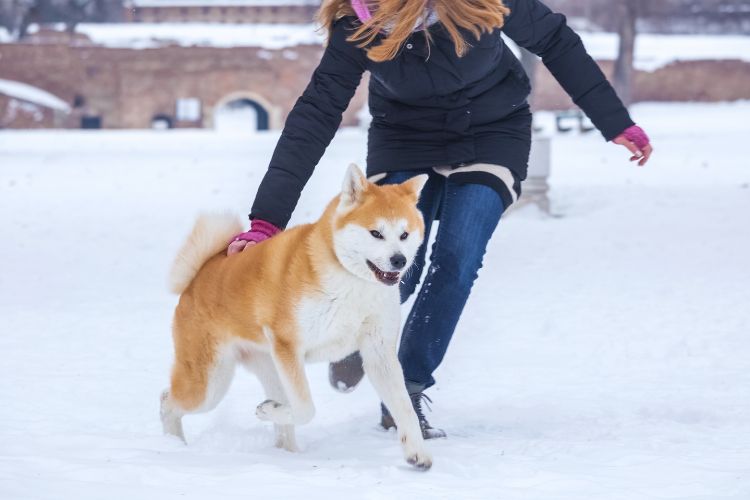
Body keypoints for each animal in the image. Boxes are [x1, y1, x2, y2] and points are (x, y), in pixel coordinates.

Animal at [163, 166, 434, 470]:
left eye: (404, 235)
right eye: (376, 233)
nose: (399, 260)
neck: (351, 281)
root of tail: (198, 276)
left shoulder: (379, 353)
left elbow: (404, 408)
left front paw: (417, 453)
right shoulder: (288, 345)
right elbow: (306, 409)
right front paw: (267, 411)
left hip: (267, 370)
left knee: (282, 424)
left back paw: (288, 452)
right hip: (210, 385)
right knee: (166, 401)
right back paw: (173, 442)